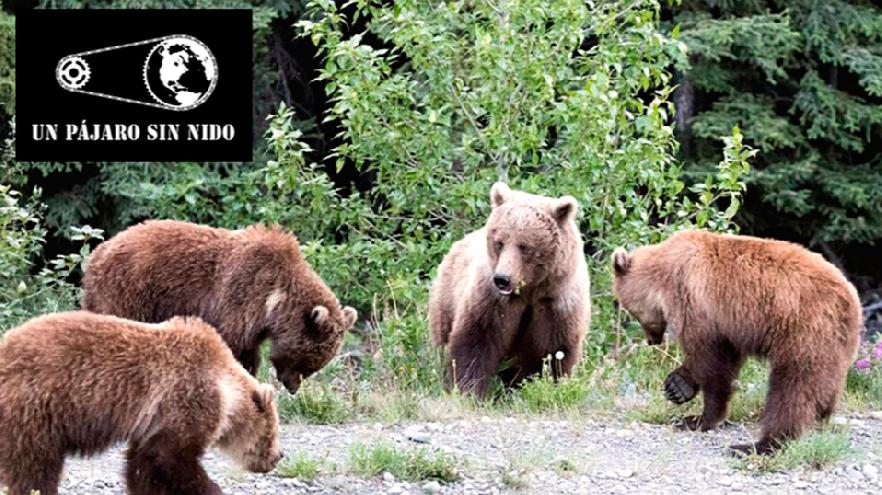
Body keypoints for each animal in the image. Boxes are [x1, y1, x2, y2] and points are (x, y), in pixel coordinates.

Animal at [0, 311, 282, 495]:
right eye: (272, 433)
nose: (278, 456)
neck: (226, 392)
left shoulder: (153, 421)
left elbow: (144, 463)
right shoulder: (189, 396)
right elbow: (171, 457)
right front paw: (209, 488)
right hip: (36, 407)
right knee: (35, 465)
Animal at [81, 220, 358, 394]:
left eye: (315, 365)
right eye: (307, 362)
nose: (292, 387)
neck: (274, 302)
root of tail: (98, 251)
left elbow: (249, 354)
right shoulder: (239, 299)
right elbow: (233, 347)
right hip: (130, 291)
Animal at [429, 182, 591, 396]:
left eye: (524, 246)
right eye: (499, 242)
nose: (502, 279)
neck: (530, 291)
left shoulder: (556, 303)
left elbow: (556, 351)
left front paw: (551, 386)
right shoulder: (491, 299)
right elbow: (475, 341)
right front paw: (469, 390)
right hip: (446, 301)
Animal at [612, 229, 863, 454]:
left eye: (631, 311)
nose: (651, 340)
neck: (665, 275)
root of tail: (851, 299)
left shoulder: (696, 303)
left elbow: (711, 361)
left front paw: (698, 418)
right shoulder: (727, 324)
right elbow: (724, 357)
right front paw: (677, 386)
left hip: (803, 329)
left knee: (792, 386)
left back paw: (760, 444)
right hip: (834, 342)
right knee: (826, 381)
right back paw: (822, 415)